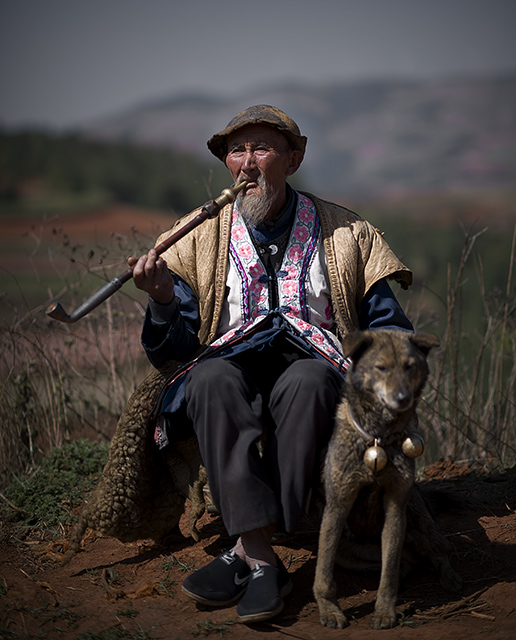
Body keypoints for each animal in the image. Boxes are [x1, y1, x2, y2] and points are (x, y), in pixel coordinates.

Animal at [312, 330, 462, 632]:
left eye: (410, 367)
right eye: (381, 368)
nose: (403, 397)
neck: (377, 439)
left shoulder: (395, 510)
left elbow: (389, 572)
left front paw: (384, 612)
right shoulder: (336, 508)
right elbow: (324, 573)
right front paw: (330, 611)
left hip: (417, 524)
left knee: (439, 552)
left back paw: (450, 579)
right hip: (351, 553)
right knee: (407, 562)